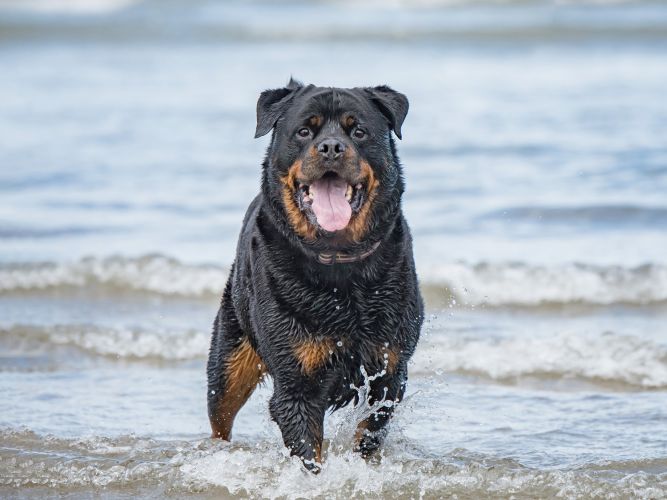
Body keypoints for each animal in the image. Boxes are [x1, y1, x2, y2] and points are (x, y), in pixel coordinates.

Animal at [207, 79, 422, 472]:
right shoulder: (296, 387)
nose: (332, 147)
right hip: (229, 356)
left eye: (358, 131)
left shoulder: (390, 372)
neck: (340, 265)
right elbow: (309, 455)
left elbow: (369, 432)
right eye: (304, 131)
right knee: (220, 414)